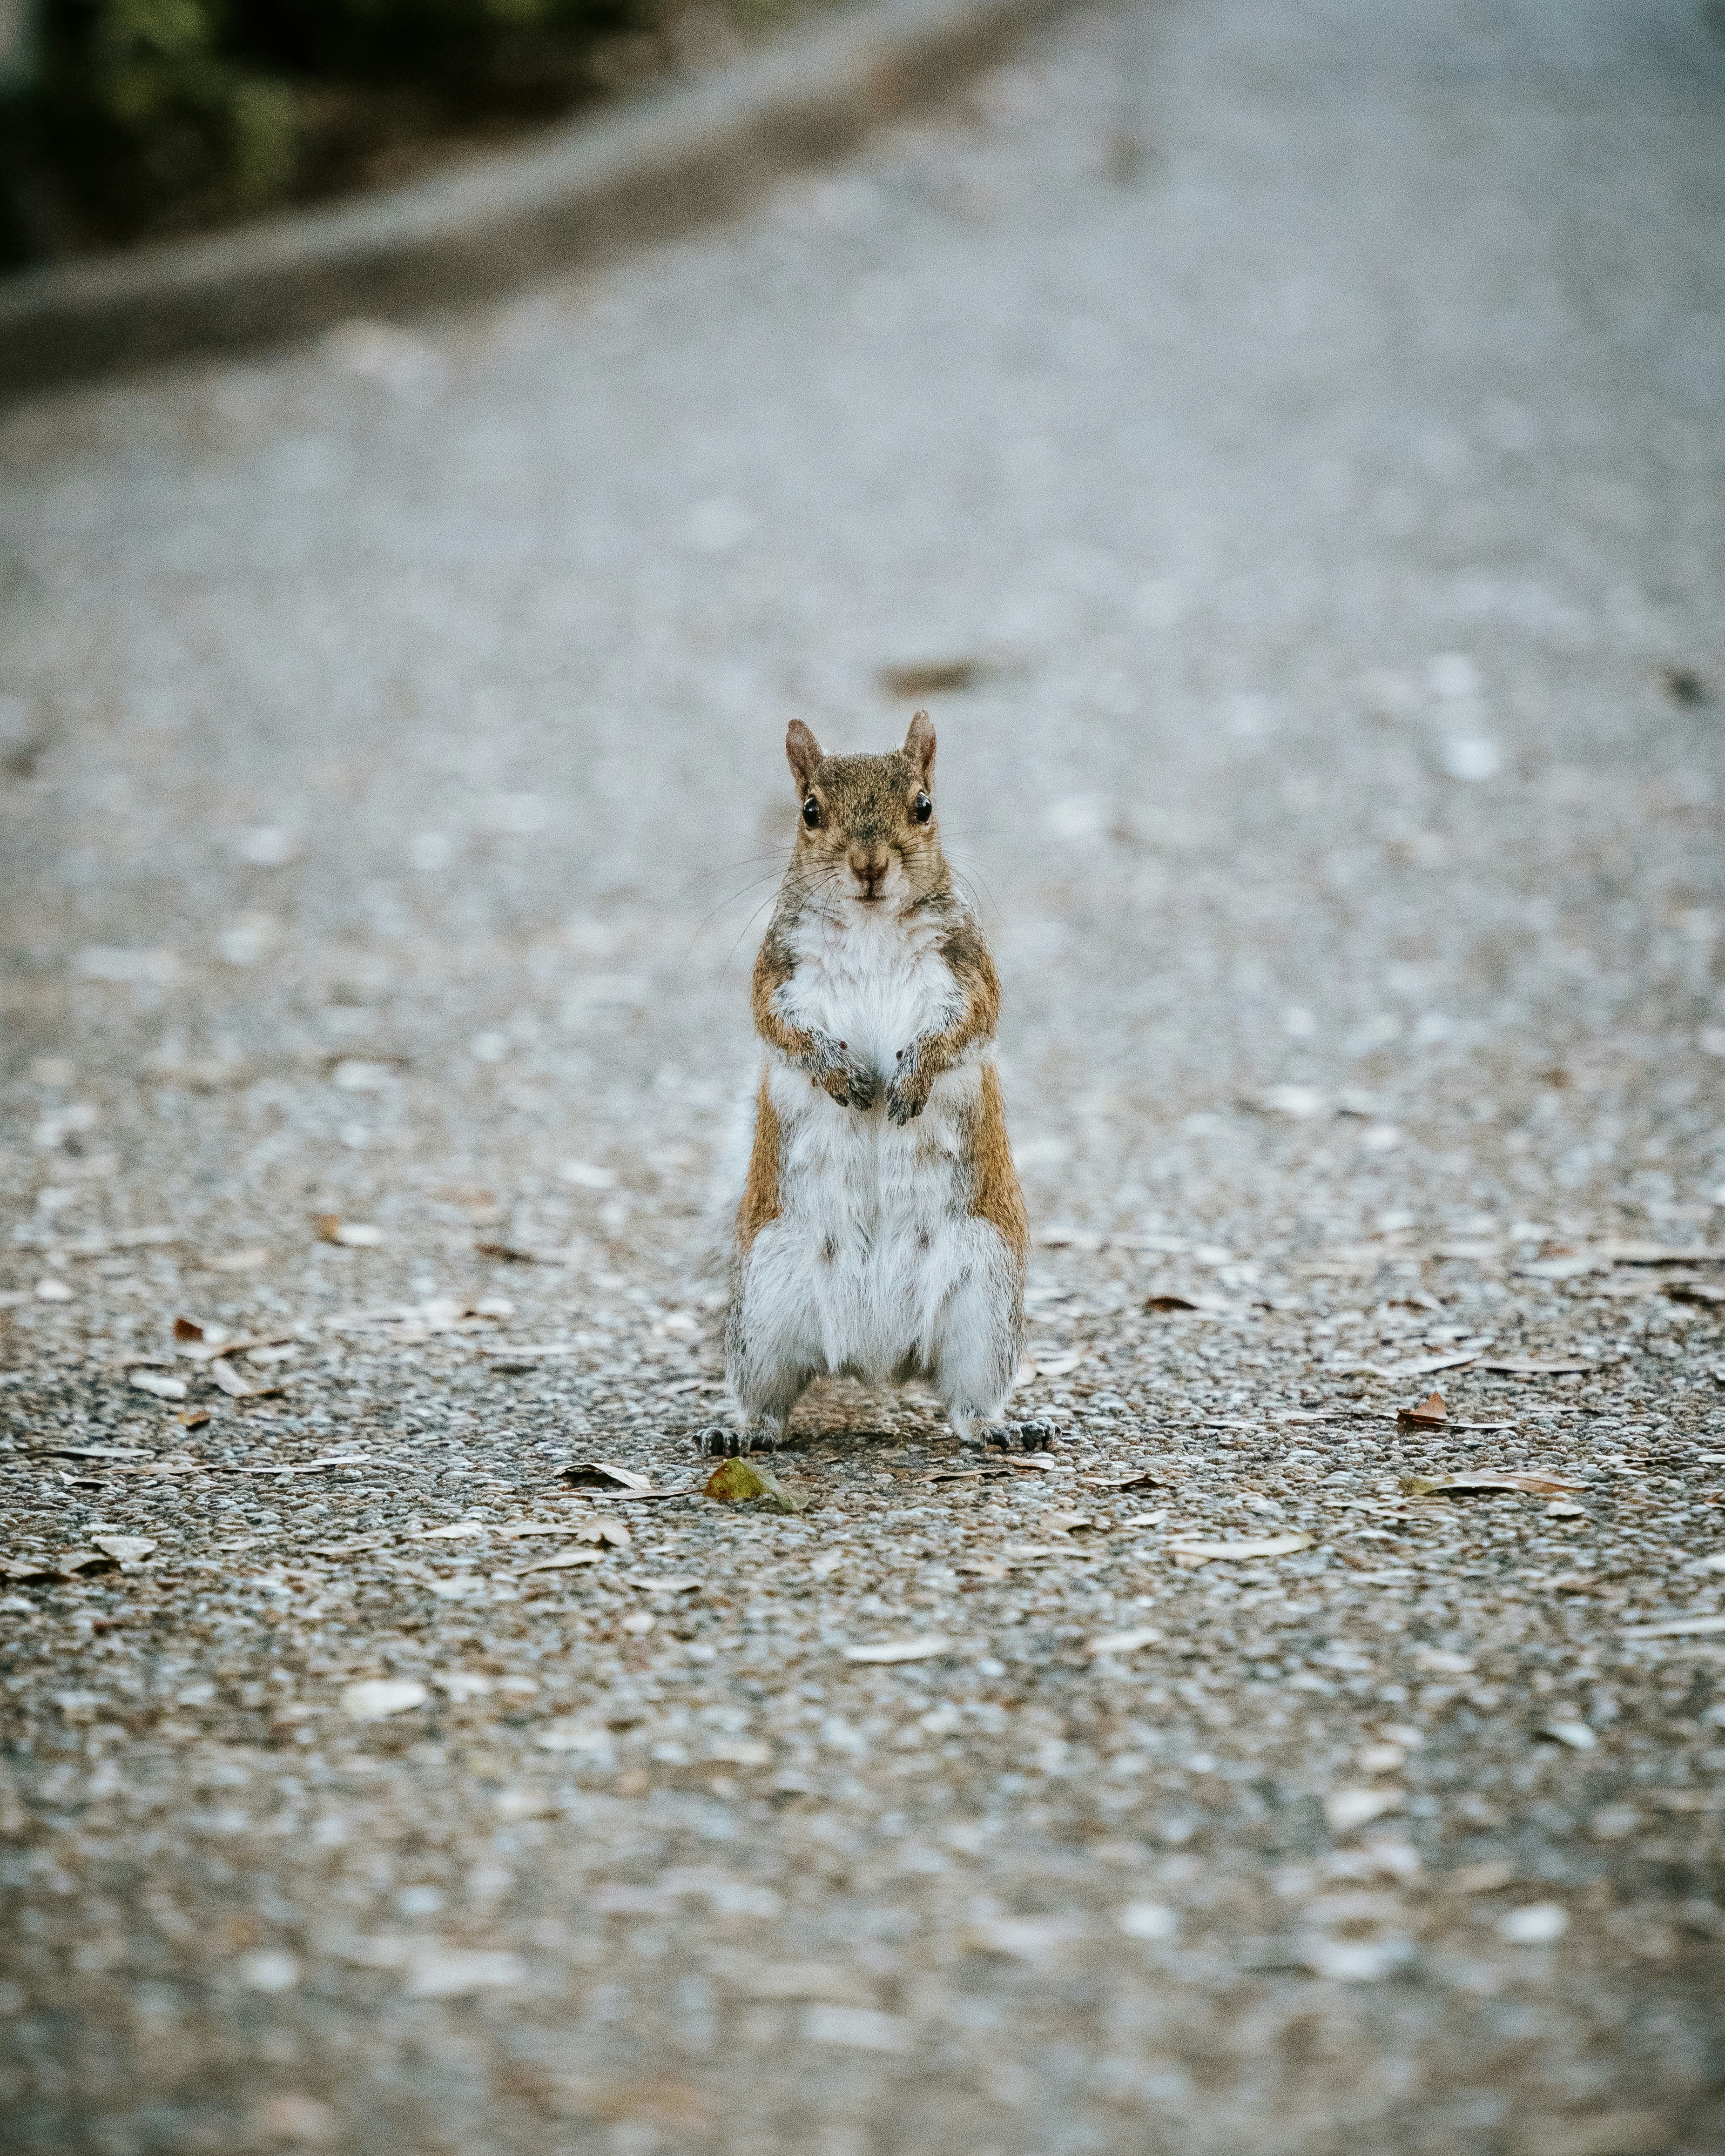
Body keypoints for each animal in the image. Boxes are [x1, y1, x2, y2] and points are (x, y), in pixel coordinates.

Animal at [698, 711, 1053, 1458]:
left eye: (924, 806)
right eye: (809, 812)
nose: (868, 865)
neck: (867, 924)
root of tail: (877, 1359)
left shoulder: (969, 969)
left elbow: (967, 1024)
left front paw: (911, 1076)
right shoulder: (777, 972)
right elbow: (778, 1026)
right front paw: (840, 1073)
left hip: (984, 1298)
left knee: (968, 1400)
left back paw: (1001, 1427)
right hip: (764, 1307)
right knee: (770, 1400)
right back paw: (741, 1433)